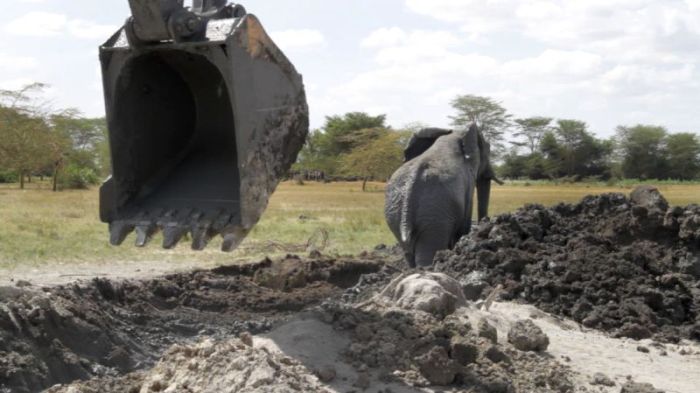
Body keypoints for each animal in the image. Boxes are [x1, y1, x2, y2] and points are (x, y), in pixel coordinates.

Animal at [386, 124, 500, 268]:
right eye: (487, 148)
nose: (483, 225)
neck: (452, 135)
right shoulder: (468, 180)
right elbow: (463, 225)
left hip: (395, 213)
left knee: (408, 250)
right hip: (435, 214)